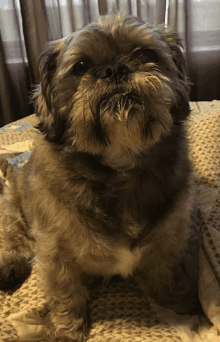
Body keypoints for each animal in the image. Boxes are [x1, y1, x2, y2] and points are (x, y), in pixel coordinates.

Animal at [0, 13, 200, 342]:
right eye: (81, 66)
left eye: (146, 54)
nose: (115, 68)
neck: (119, 165)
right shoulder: (55, 251)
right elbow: (66, 292)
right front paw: (67, 329)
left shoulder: (169, 236)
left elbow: (163, 271)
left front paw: (175, 300)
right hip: (12, 204)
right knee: (12, 235)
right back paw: (10, 264)